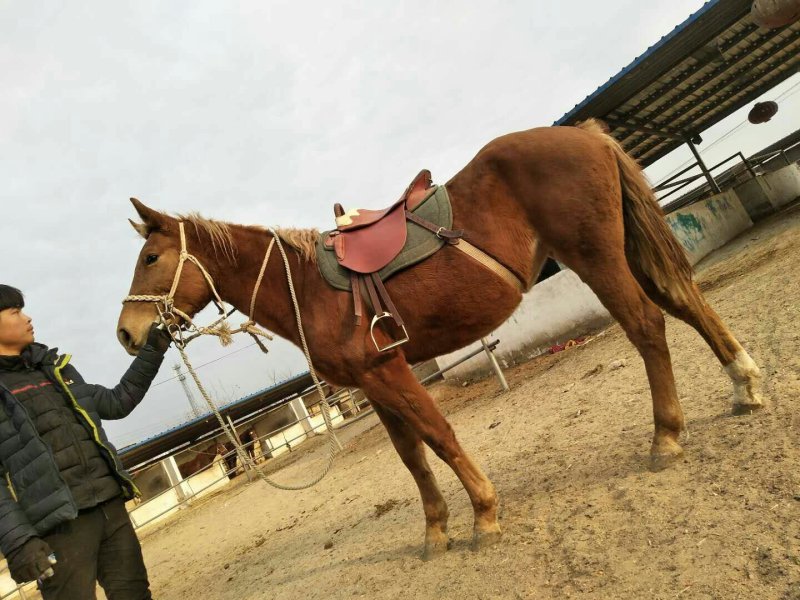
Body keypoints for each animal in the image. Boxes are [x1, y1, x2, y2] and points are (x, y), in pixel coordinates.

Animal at [116, 120, 763, 560]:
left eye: (151, 258)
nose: (127, 333)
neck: (306, 286)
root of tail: (583, 138)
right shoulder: (373, 384)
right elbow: (413, 458)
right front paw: (434, 531)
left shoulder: (390, 372)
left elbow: (440, 436)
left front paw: (483, 514)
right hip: (623, 249)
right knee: (683, 300)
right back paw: (745, 385)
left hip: (597, 258)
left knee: (648, 326)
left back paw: (666, 437)